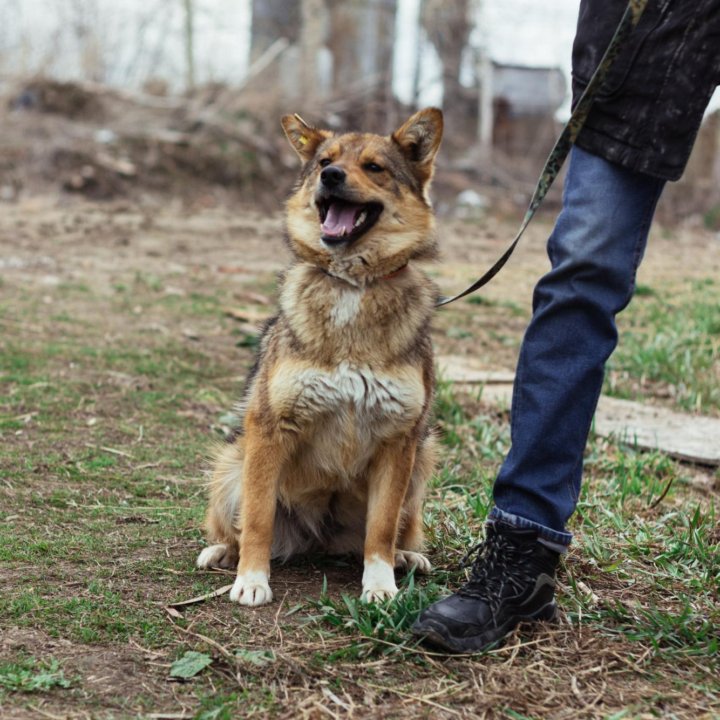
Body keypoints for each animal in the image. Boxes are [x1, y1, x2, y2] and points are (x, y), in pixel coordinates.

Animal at [198, 105, 444, 600]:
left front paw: (380, 585)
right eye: (325, 162)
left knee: (401, 527)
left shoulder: (400, 441)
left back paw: (407, 557)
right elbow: (256, 518)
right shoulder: (269, 428)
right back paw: (223, 553)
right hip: (232, 463)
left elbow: (382, 528)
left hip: (423, 458)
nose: (330, 176)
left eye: (374, 167)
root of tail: (318, 539)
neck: (352, 285)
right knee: (235, 525)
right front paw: (252, 580)